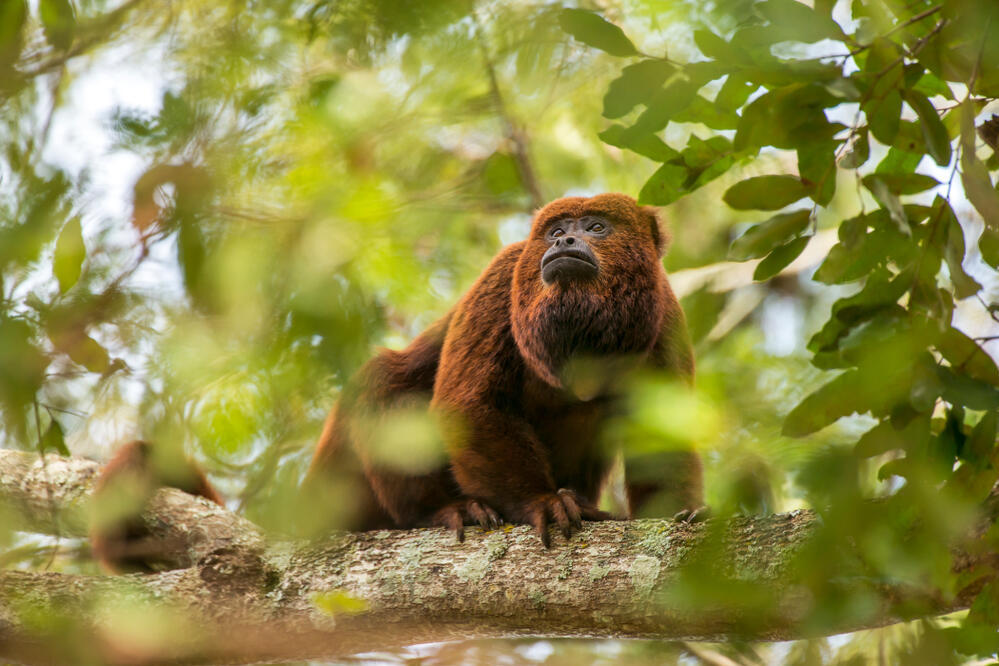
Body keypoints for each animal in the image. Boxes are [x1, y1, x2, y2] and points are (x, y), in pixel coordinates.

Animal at [91, 192, 702, 570]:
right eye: (555, 230)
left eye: (596, 227)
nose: (562, 245)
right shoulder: (505, 272)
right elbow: (467, 406)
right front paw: (539, 502)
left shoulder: (666, 315)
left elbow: (664, 438)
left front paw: (680, 517)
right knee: (386, 380)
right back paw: (441, 513)